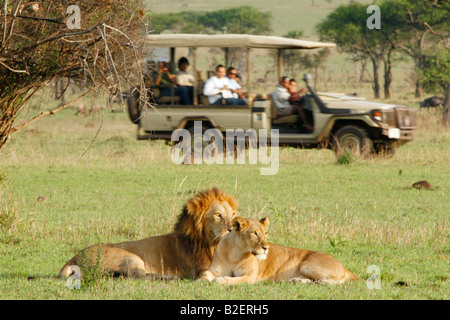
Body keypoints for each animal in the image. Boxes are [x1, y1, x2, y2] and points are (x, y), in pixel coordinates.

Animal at [59, 189, 239, 278]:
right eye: (218, 214)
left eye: (233, 214)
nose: (232, 228)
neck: (211, 243)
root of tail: (72, 259)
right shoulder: (202, 268)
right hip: (131, 257)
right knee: (138, 275)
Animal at [202, 216, 360, 284]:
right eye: (255, 233)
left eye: (265, 233)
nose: (266, 248)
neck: (235, 253)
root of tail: (343, 266)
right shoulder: (213, 270)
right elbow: (204, 276)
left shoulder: (250, 277)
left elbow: (232, 280)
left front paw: (220, 281)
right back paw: (297, 280)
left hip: (308, 265)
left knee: (336, 281)